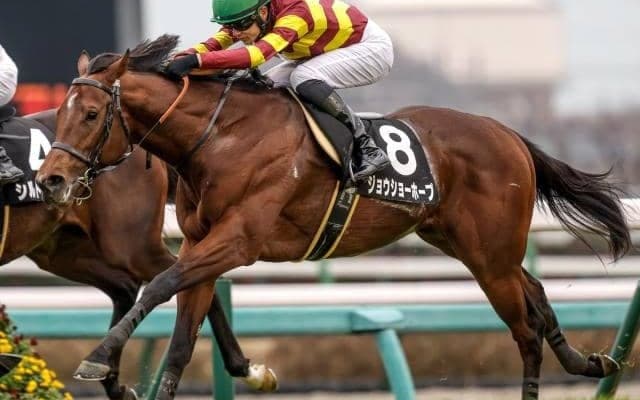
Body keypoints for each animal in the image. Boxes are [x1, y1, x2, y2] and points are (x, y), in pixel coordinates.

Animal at [1, 109, 269, 398]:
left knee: (179, 275)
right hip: (63, 250)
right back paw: (109, 375)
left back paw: (246, 369)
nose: (47, 180)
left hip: (133, 246)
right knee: (127, 286)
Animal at [35, 35, 631, 400]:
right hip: (469, 245)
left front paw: (97, 358)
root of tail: (508, 133)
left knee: (525, 329)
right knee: (536, 294)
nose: (51, 180)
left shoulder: (238, 241)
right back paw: (588, 362)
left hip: (490, 255)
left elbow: (158, 284)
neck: (220, 137)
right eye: (60, 113)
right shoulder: (202, 244)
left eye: (92, 114)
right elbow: (182, 340)